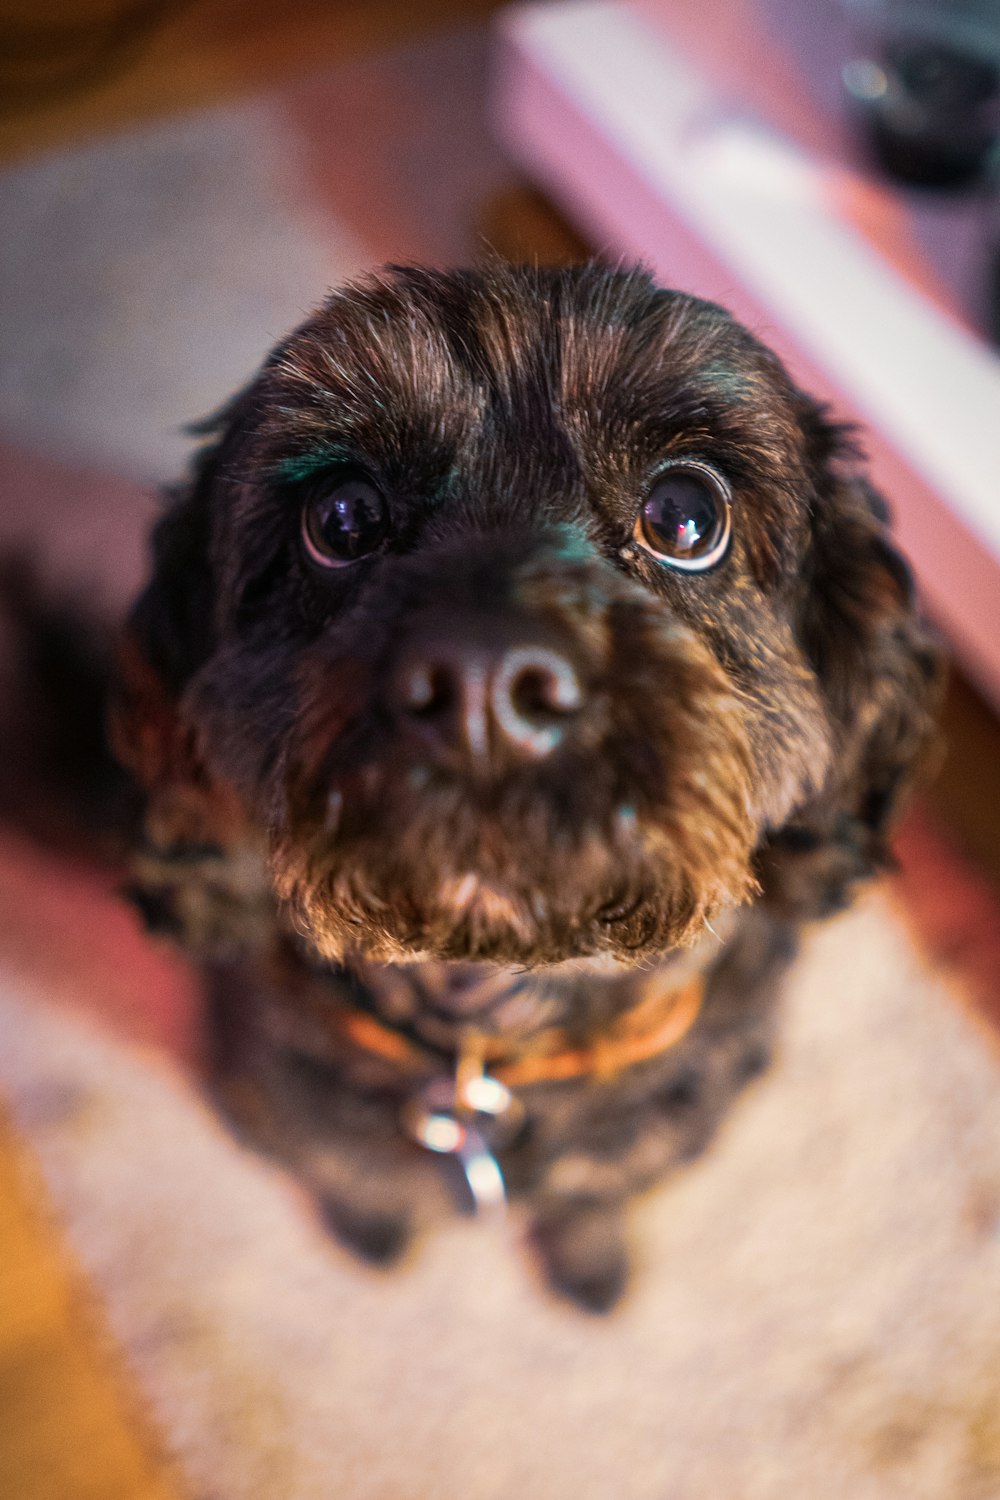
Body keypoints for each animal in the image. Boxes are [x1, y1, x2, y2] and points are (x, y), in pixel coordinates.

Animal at [111, 264, 947, 1308]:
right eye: (340, 519)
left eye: (686, 517)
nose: (484, 685)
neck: (499, 1028)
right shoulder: (294, 1098)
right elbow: (355, 1170)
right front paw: (375, 1232)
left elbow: (597, 1198)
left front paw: (591, 1264)